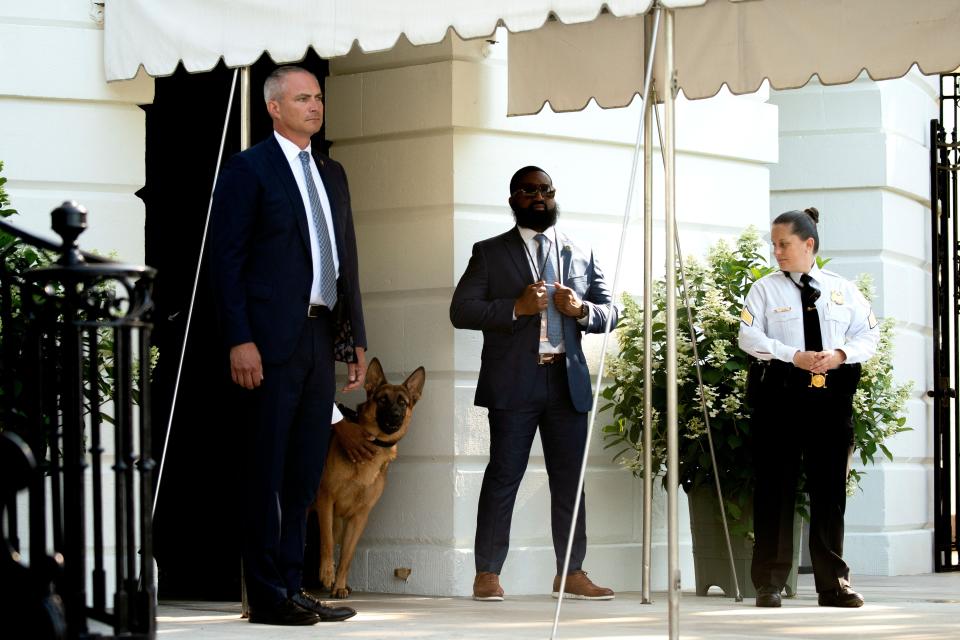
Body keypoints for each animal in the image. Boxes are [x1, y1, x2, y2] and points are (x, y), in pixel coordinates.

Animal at [316, 358, 424, 596]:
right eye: (382, 400)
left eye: (403, 403)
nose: (395, 415)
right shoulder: (325, 501)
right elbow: (326, 541)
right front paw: (327, 574)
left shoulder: (359, 516)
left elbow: (347, 555)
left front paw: (339, 585)